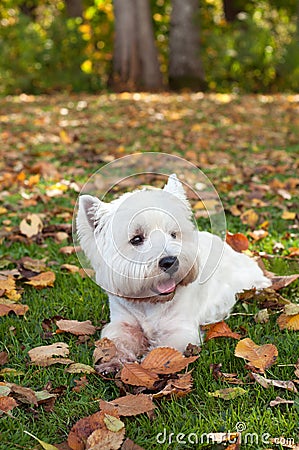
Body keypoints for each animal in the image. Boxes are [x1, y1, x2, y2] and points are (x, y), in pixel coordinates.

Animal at [76, 174, 270, 370]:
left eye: (173, 234)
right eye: (136, 239)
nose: (170, 262)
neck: (151, 303)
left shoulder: (180, 330)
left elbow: (165, 351)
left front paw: (147, 366)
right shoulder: (122, 322)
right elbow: (115, 340)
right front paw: (113, 361)